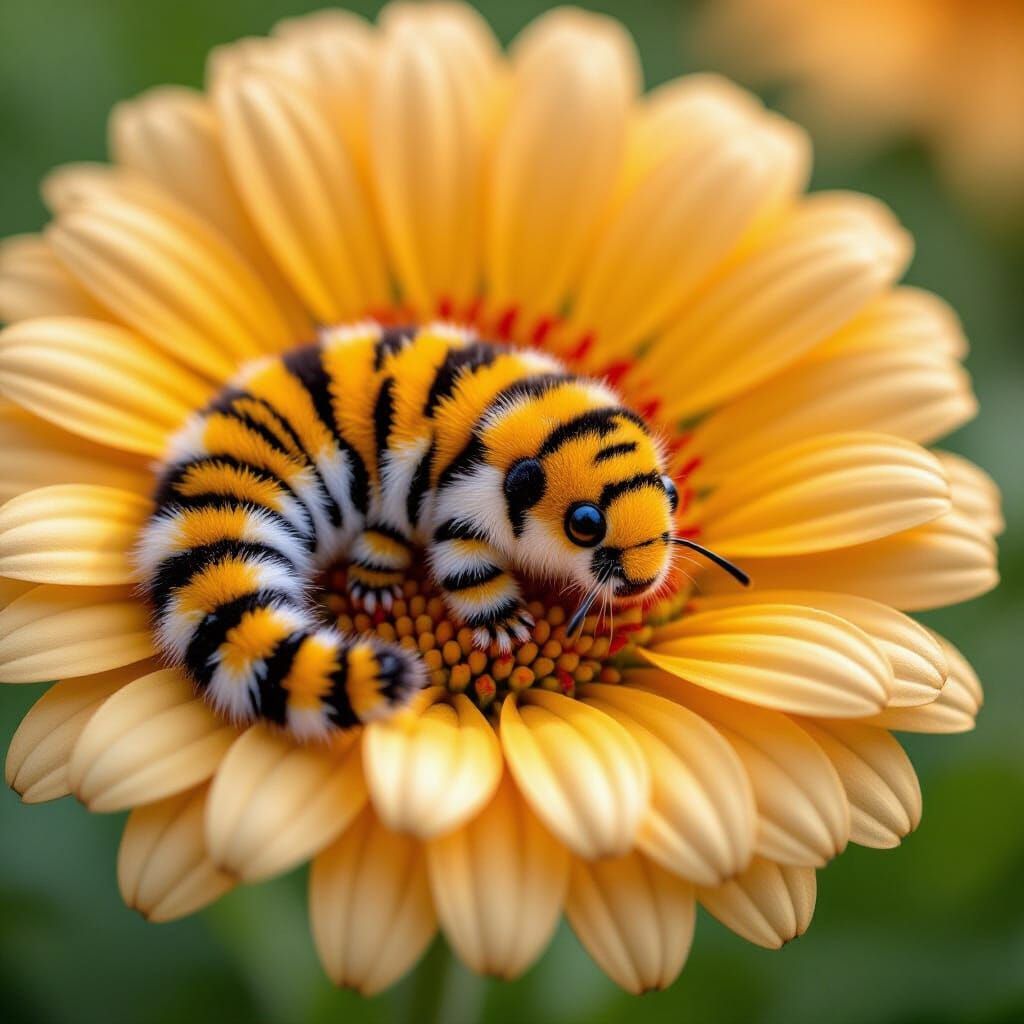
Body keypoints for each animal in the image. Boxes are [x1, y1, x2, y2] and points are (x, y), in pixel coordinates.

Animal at [137, 322, 748, 740]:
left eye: (671, 494)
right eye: (585, 525)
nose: (643, 580)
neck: (517, 412)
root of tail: (215, 476)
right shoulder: (458, 501)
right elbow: (467, 570)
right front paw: (507, 626)